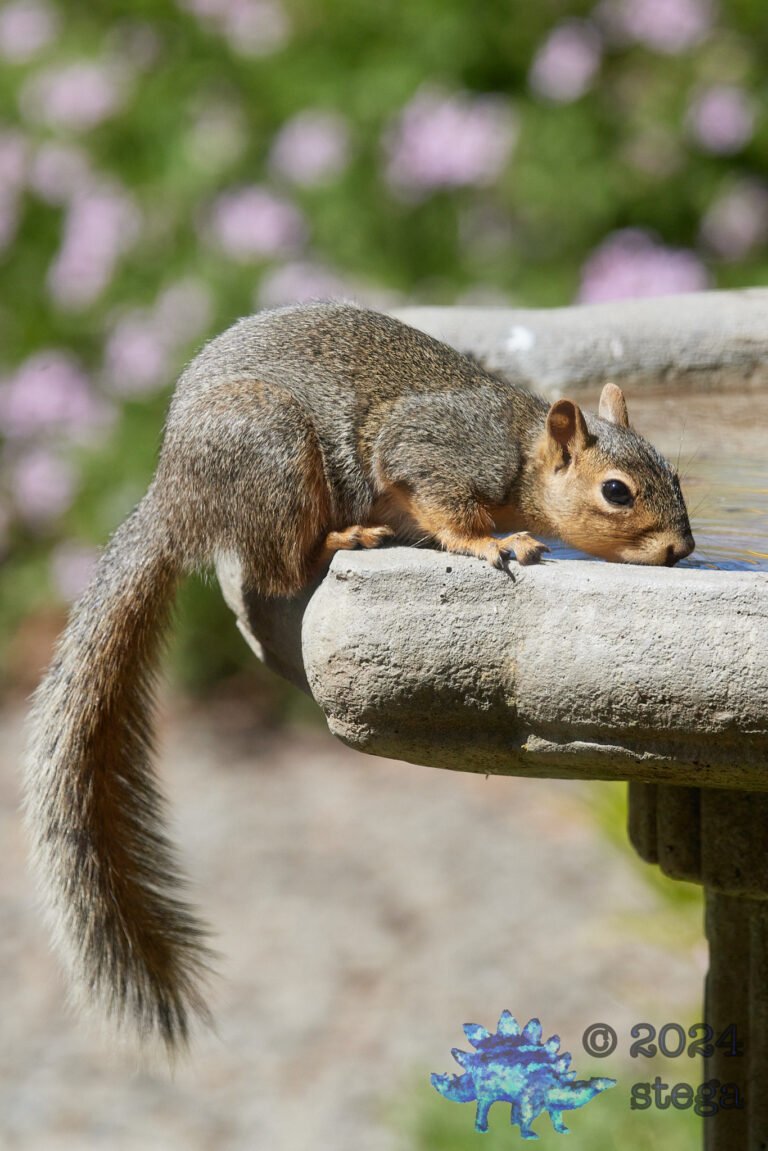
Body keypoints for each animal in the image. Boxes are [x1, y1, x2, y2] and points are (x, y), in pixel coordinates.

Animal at [23, 301, 694, 1052]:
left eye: (676, 474)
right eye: (616, 491)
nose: (682, 549)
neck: (520, 453)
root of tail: (175, 500)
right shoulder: (432, 454)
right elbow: (447, 509)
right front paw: (495, 543)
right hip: (274, 453)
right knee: (277, 568)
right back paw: (344, 538)